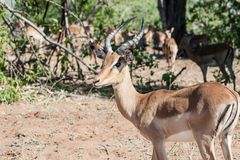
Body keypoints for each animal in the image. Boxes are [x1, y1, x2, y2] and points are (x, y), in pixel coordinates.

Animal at [91, 17, 239, 160]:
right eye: (104, 62)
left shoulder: (158, 140)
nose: (96, 81)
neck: (138, 103)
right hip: (225, 137)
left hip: (204, 140)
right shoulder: (155, 143)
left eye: (118, 63)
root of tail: (231, 96)